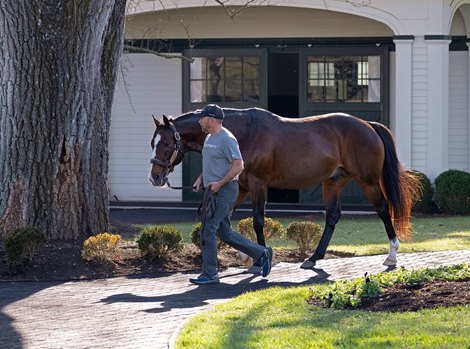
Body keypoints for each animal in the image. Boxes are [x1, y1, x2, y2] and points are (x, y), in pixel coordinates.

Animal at [149, 107, 420, 268]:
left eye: (165, 143)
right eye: (152, 142)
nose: (155, 178)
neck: (241, 133)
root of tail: (367, 124)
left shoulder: (258, 185)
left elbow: (258, 221)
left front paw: (260, 258)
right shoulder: (241, 187)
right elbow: (226, 219)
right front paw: (246, 255)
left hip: (368, 181)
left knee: (383, 209)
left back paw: (392, 254)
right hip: (333, 182)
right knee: (333, 216)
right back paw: (313, 258)